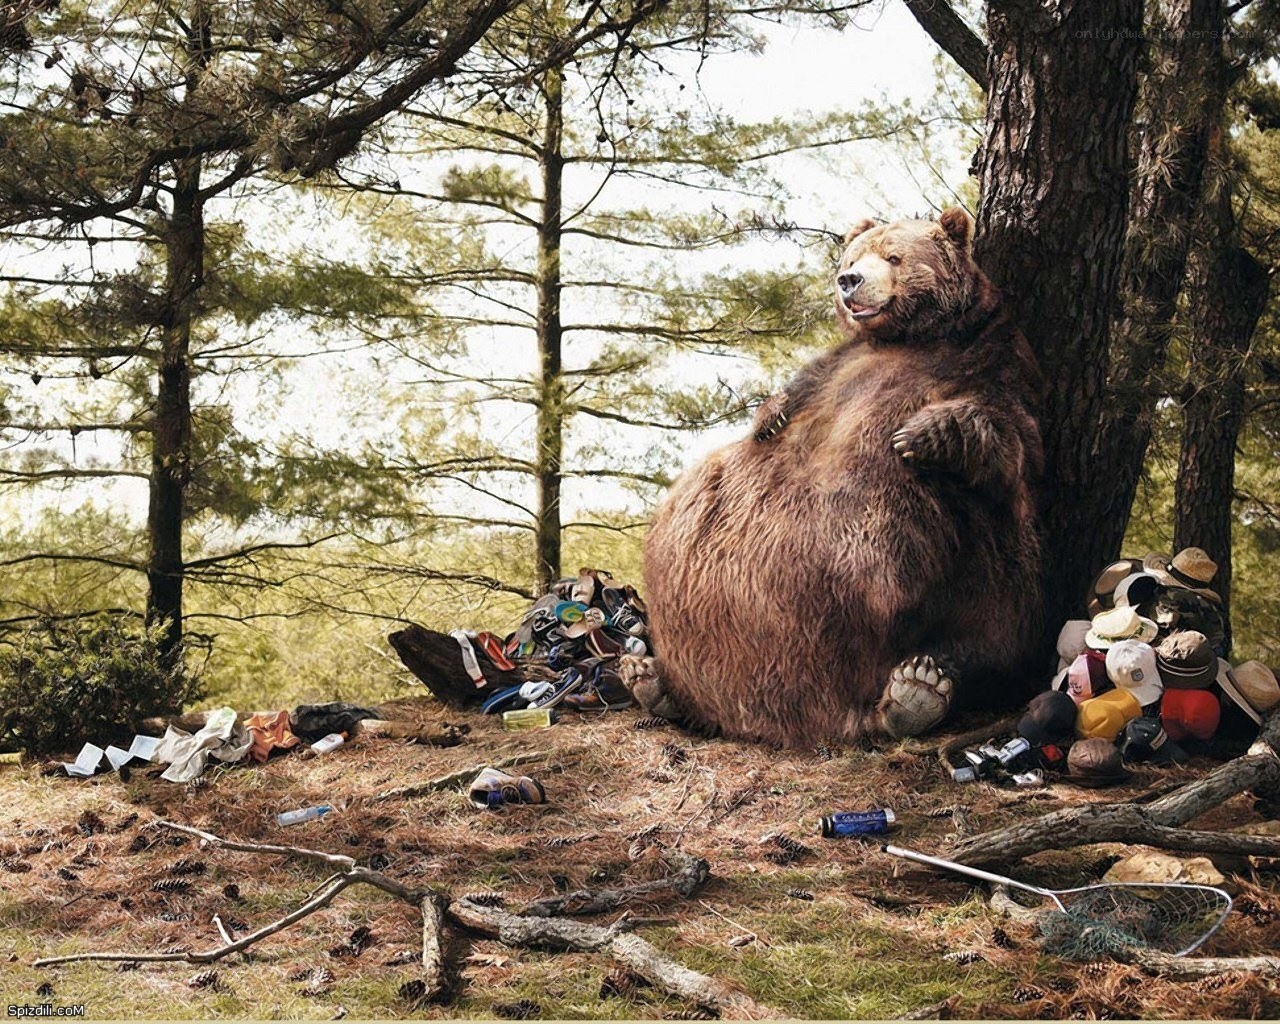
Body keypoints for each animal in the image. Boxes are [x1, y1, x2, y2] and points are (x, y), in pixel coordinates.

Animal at [621, 207, 1044, 747]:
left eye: (894, 256)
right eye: (851, 257)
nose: (849, 281)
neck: (909, 336)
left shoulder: (996, 358)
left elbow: (1008, 438)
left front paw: (920, 433)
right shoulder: (839, 363)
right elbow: (800, 389)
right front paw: (769, 417)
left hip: (967, 564)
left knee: (991, 618)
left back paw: (917, 689)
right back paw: (651, 678)